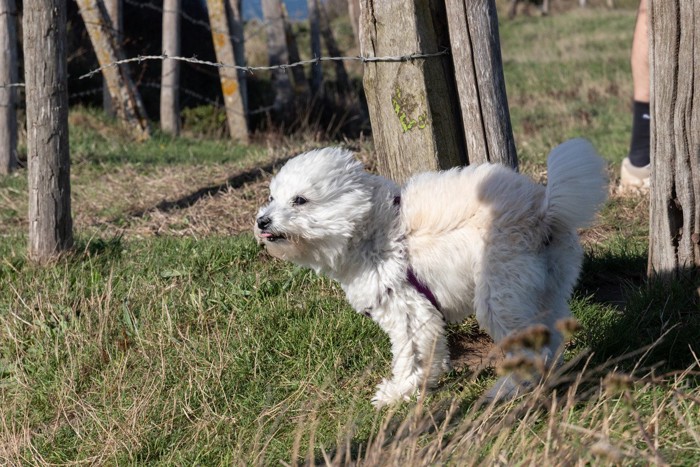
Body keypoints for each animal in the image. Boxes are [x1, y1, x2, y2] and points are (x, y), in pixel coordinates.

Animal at [253, 140, 608, 410]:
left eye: (300, 200)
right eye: (272, 197)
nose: (262, 221)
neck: (372, 230)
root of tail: (544, 211)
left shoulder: (409, 311)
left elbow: (412, 356)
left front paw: (398, 393)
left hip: (500, 297)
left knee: (531, 349)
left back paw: (506, 389)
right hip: (548, 289)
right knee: (553, 339)